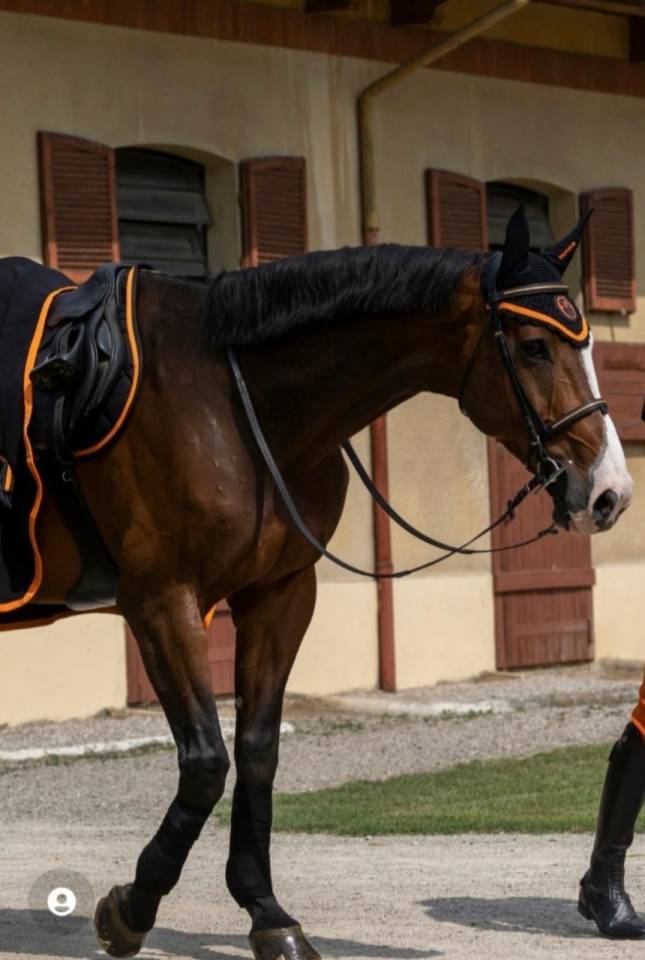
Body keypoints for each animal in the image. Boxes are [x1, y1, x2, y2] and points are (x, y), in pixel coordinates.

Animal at [26, 205, 632, 960]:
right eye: (532, 347)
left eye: (586, 343)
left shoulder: (280, 594)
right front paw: (130, 908)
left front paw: (265, 911)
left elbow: (257, 751)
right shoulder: (162, 600)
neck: (232, 402)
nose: (609, 492)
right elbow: (206, 760)